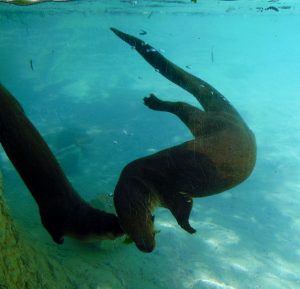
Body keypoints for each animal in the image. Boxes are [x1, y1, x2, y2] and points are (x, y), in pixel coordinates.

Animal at [0, 83, 123, 243]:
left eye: (118, 219)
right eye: (115, 227)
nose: (124, 229)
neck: (74, 218)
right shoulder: (53, 215)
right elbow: (50, 227)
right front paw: (60, 240)